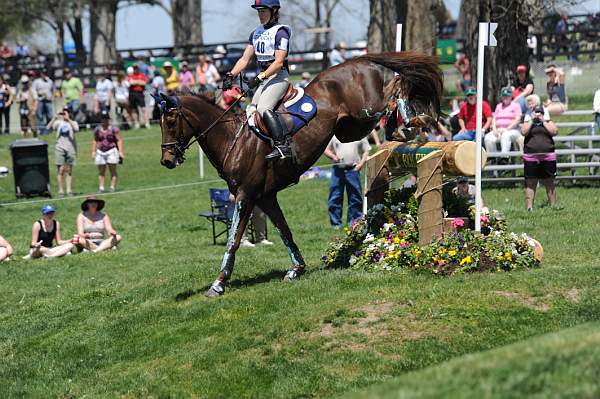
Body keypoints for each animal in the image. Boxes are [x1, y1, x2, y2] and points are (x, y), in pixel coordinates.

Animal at [157, 51, 442, 296]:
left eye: (171, 122)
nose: (167, 160)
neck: (233, 140)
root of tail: (359, 60)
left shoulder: (246, 195)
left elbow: (234, 239)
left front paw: (218, 283)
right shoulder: (265, 197)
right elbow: (285, 231)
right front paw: (297, 268)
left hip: (366, 109)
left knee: (394, 91)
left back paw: (413, 121)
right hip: (349, 129)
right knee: (390, 102)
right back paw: (402, 128)